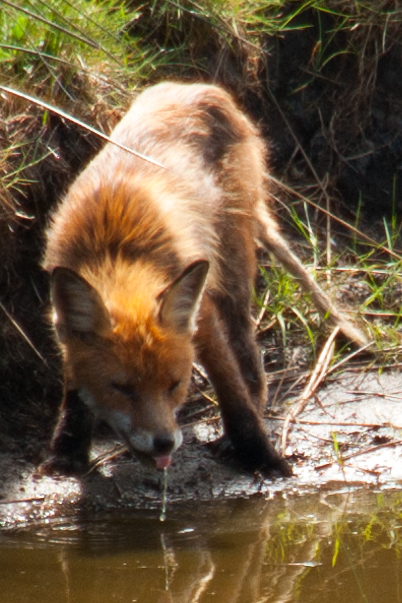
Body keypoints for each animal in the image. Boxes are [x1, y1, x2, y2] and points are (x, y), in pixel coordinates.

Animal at [41, 81, 368, 476]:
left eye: (174, 385)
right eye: (121, 388)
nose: (164, 443)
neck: (117, 250)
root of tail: (200, 87)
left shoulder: (202, 314)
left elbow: (230, 387)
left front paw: (259, 453)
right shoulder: (66, 318)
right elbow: (74, 390)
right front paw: (66, 452)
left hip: (232, 272)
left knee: (248, 356)